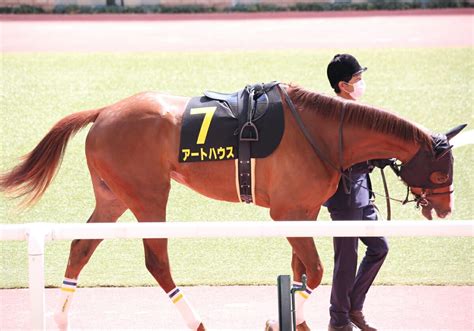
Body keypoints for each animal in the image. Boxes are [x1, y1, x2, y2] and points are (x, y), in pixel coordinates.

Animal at [0, 84, 462, 330]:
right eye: (442, 171)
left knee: (81, 245)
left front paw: (293, 319)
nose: (445, 209)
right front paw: (283, 319)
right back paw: (197, 321)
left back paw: (60, 317)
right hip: (148, 196)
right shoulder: (287, 212)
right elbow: (314, 271)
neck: (323, 131)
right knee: (157, 261)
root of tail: (105, 111)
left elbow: (299, 271)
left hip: (112, 196)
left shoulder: (302, 210)